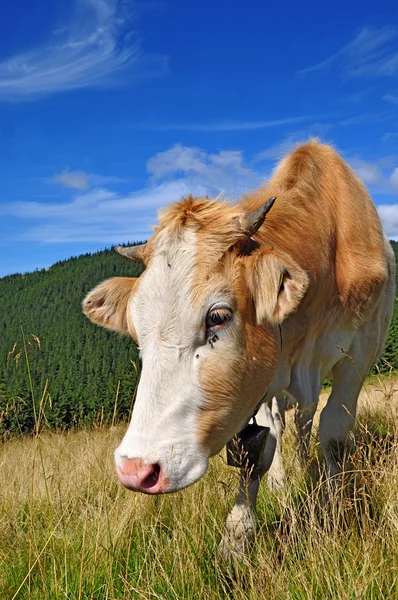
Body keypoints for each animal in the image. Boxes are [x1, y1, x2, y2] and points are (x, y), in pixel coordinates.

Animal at [83, 141, 394, 556]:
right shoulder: (259, 380)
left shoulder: (360, 354)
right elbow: (259, 447)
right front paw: (237, 536)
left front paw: (332, 513)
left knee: (306, 422)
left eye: (217, 317)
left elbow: (334, 435)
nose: (136, 469)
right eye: (136, 332)